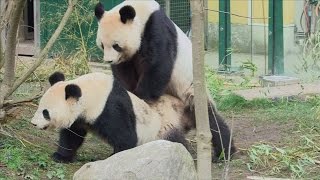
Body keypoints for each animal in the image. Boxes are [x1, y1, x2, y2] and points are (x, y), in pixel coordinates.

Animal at [30, 71, 195, 163]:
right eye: (39, 106)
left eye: (45, 112)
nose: (33, 123)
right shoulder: (79, 118)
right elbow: (72, 136)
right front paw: (60, 156)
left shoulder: (110, 108)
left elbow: (125, 137)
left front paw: (115, 157)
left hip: (161, 130)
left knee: (175, 141)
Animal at [94, 0, 236, 161]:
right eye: (102, 45)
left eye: (116, 45)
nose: (108, 60)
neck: (142, 12)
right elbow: (124, 72)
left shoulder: (156, 28)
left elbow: (158, 64)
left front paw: (141, 96)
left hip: (191, 92)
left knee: (212, 121)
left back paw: (225, 152)